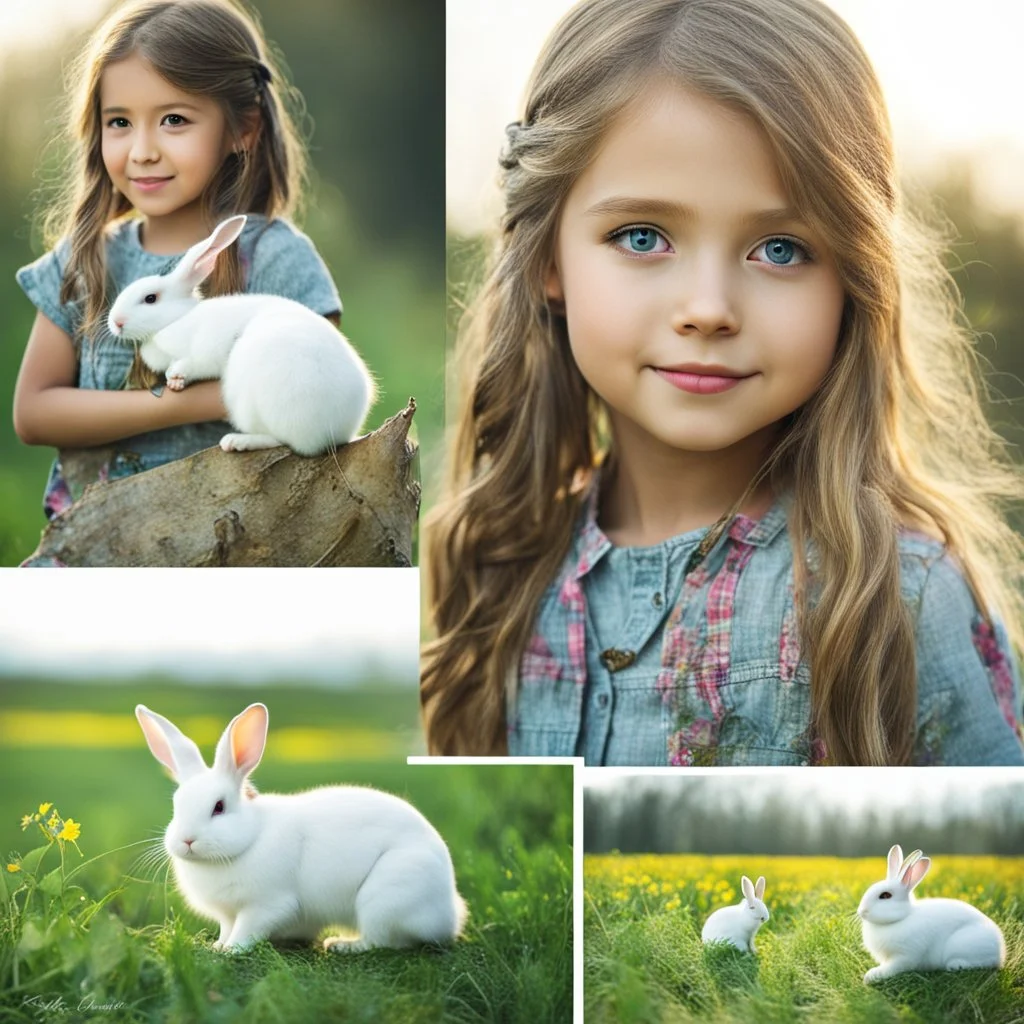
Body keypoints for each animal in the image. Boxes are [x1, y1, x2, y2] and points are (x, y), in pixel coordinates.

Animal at [107, 214, 376, 454]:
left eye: (150, 298)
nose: (116, 322)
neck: (177, 320)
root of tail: (337, 433)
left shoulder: (206, 347)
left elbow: (195, 364)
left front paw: (176, 375)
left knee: (284, 442)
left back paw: (238, 442)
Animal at [135, 704, 468, 950]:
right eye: (176, 805)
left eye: (219, 807)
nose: (187, 841)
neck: (251, 838)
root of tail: (450, 914)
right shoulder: (227, 915)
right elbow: (227, 929)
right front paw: (216, 947)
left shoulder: (267, 905)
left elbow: (246, 931)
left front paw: (230, 951)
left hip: (385, 898)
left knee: (382, 940)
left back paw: (342, 945)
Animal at [856, 839, 1007, 983]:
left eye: (885, 895)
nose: (861, 911)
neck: (902, 918)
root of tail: (1001, 952)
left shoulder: (905, 956)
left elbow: (893, 967)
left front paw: (871, 976)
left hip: (962, 945)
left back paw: (955, 965)